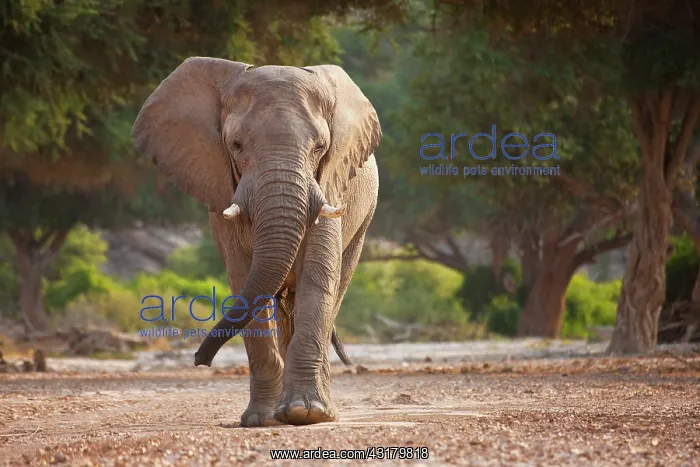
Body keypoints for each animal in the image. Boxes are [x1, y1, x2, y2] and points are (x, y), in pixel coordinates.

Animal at [130, 57, 381, 427]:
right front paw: (262, 420)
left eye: (320, 148)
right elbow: (244, 279)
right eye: (236, 145)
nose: (199, 359)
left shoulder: (330, 184)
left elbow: (317, 277)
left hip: (363, 222)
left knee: (332, 289)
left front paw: (306, 414)